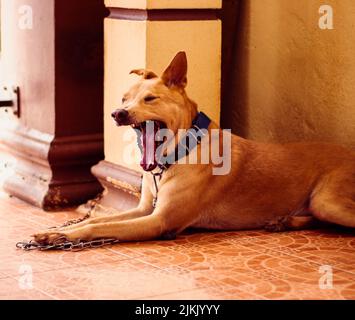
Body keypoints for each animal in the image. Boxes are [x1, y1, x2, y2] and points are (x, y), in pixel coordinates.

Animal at [34, 52, 355, 245]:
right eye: (124, 98)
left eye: (150, 99)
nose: (117, 113)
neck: (178, 154)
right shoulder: (143, 209)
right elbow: (100, 218)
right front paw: (57, 232)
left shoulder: (158, 221)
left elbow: (97, 227)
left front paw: (66, 235)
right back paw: (284, 221)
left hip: (327, 200)